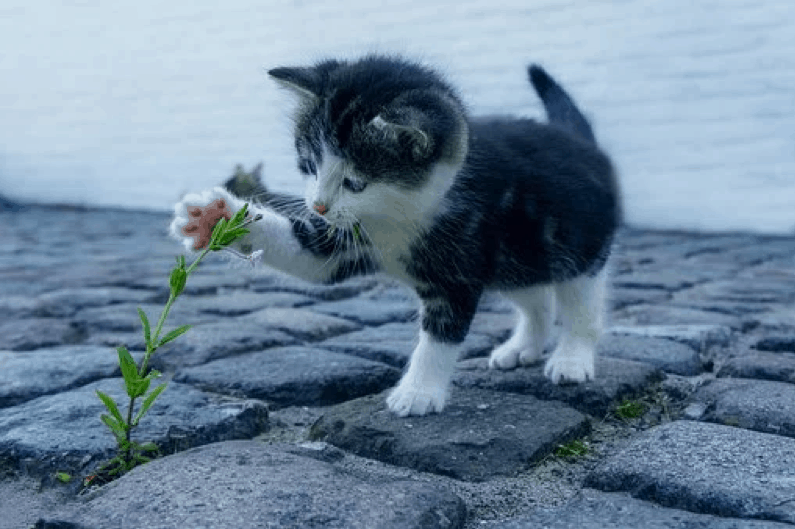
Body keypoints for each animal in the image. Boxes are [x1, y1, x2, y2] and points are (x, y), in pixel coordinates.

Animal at [173, 54, 620, 416]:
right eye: (310, 165)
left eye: (355, 182)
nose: (318, 206)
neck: (398, 216)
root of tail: (583, 143)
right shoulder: (346, 239)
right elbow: (309, 255)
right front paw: (215, 217)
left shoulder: (459, 266)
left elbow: (441, 335)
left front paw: (419, 392)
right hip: (518, 255)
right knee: (536, 297)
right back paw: (523, 347)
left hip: (578, 245)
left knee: (581, 303)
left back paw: (572, 358)